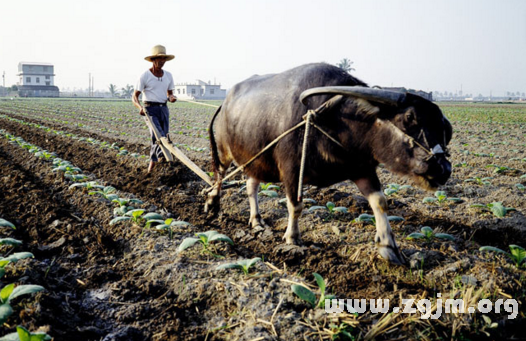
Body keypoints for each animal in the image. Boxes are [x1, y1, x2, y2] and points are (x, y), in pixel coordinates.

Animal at [206, 63, 454, 264]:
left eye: (444, 127)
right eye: (410, 118)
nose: (443, 168)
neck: (336, 119)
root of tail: (226, 102)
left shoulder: (362, 168)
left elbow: (380, 202)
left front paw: (388, 246)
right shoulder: (291, 171)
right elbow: (296, 206)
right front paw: (292, 238)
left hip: (255, 160)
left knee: (251, 187)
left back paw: (257, 221)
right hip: (224, 151)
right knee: (219, 176)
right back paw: (212, 204)